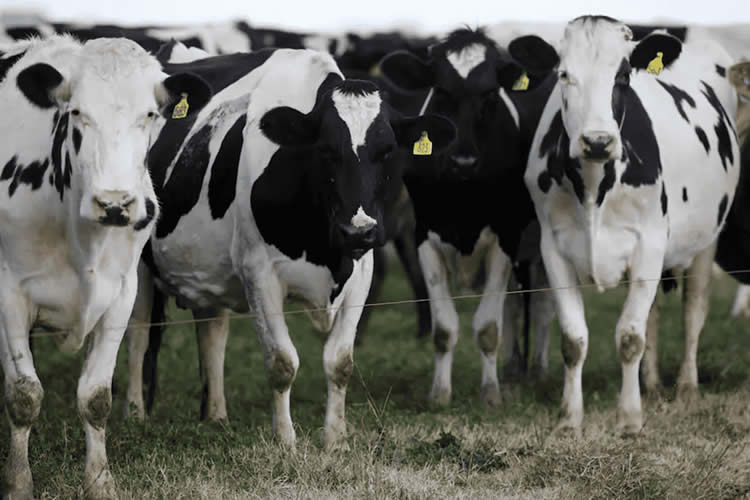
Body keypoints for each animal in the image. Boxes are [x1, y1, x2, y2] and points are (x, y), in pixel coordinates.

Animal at [0, 35, 209, 499]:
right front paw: (19, 483)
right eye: (76, 112)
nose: (114, 203)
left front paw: (99, 482)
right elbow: (24, 395)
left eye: (149, 114)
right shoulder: (7, 296)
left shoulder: (121, 293)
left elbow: (96, 398)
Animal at [123, 46, 455, 448]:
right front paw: (285, 440)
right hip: (138, 266)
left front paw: (335, 437)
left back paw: (216, 414)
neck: (325, 248)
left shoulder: (362, 272)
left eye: (388, 150)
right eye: (326, 149)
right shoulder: (259, 273)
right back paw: (135, 413)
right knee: (138, 334)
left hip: (207, 268)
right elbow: (282, 362)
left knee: (212, 331)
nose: (357, 231)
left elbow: (340, 361)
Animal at [378, 28, 560, 407]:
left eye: (490, 94)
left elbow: (488, 327)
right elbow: (444, 329)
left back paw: (536, 369)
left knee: (543, 304)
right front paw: (439, 394)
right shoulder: (424, 236)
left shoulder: (504, 237)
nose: (463, 161)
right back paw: (514, 367)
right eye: (441, 91)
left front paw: (490, 394)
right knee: (514, 306)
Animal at [523, 15, 740, 435]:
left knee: (693, 311)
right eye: (563, 74)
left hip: (707, 238)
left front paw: (628, 418)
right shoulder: (552, 247)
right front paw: (569, 418)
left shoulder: (650, 244)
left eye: (622, 76)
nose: (597, 141)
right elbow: (573, 339)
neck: (594, 186)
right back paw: (651, 385)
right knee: (654, 313)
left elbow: (629, 337)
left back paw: (686, 388)